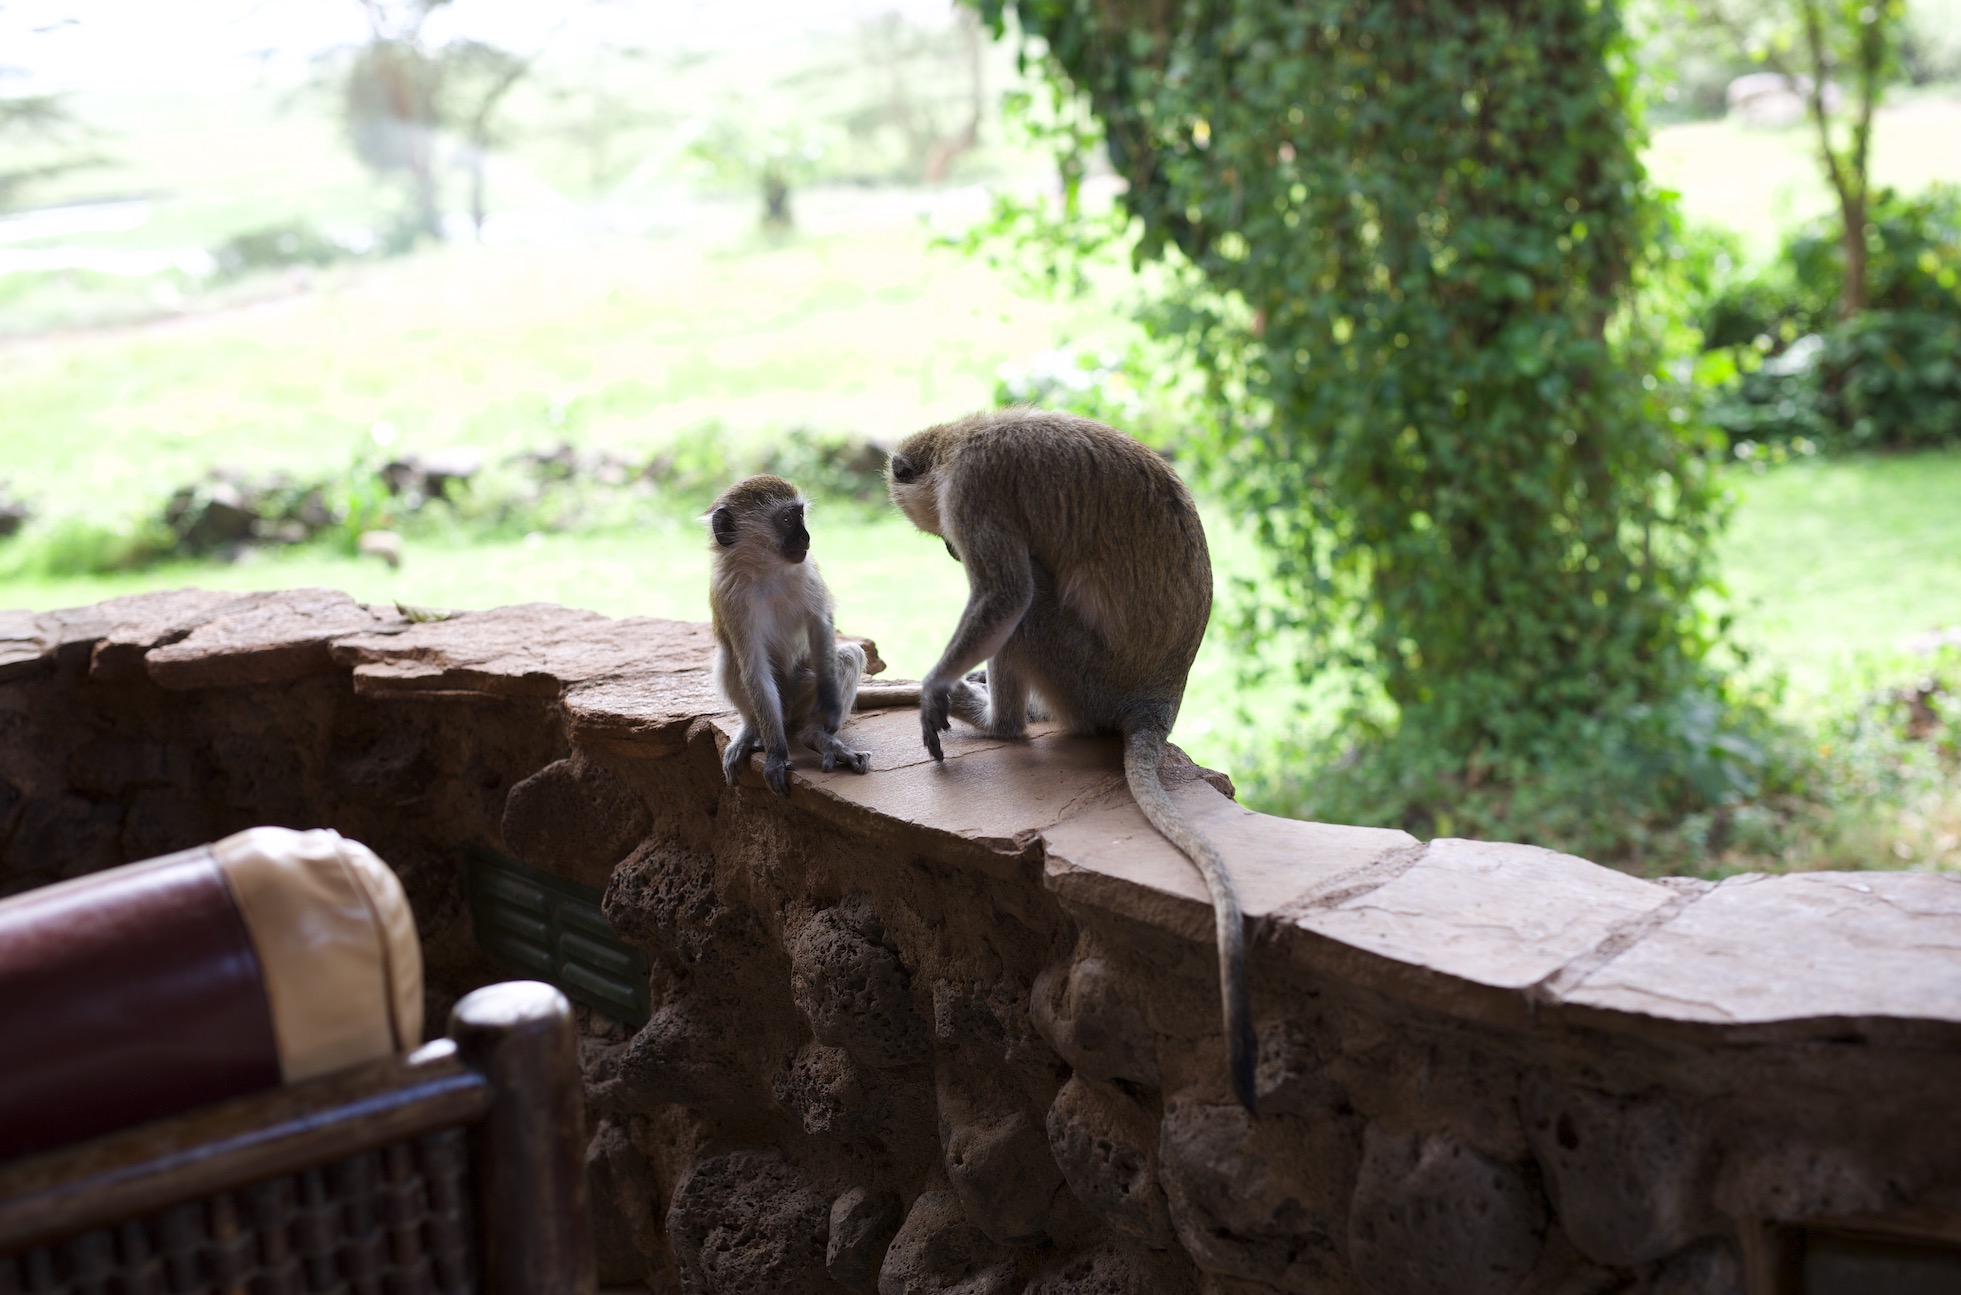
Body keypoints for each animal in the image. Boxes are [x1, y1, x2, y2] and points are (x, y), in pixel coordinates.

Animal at [698, 474, 866, 800]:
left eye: (800, 515)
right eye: (787, 520)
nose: (806, 538)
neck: (766, 571)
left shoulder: (808, 572)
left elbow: (821, 625)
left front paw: (830, 709)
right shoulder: (728, 594)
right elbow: (754, 667)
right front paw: (776, 755)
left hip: (802, 692)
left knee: (849, 655)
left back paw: (815, 734)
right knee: (729, 658)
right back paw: (752, 729)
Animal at [890, 408, 1255, 1114]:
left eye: (945, 535)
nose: (950, 552)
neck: (960, 437)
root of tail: (1158, 698)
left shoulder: (972, 491)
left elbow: (1005, 595)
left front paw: (933, 690)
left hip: (1087, 682)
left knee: (1027, 603)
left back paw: (999, 723)